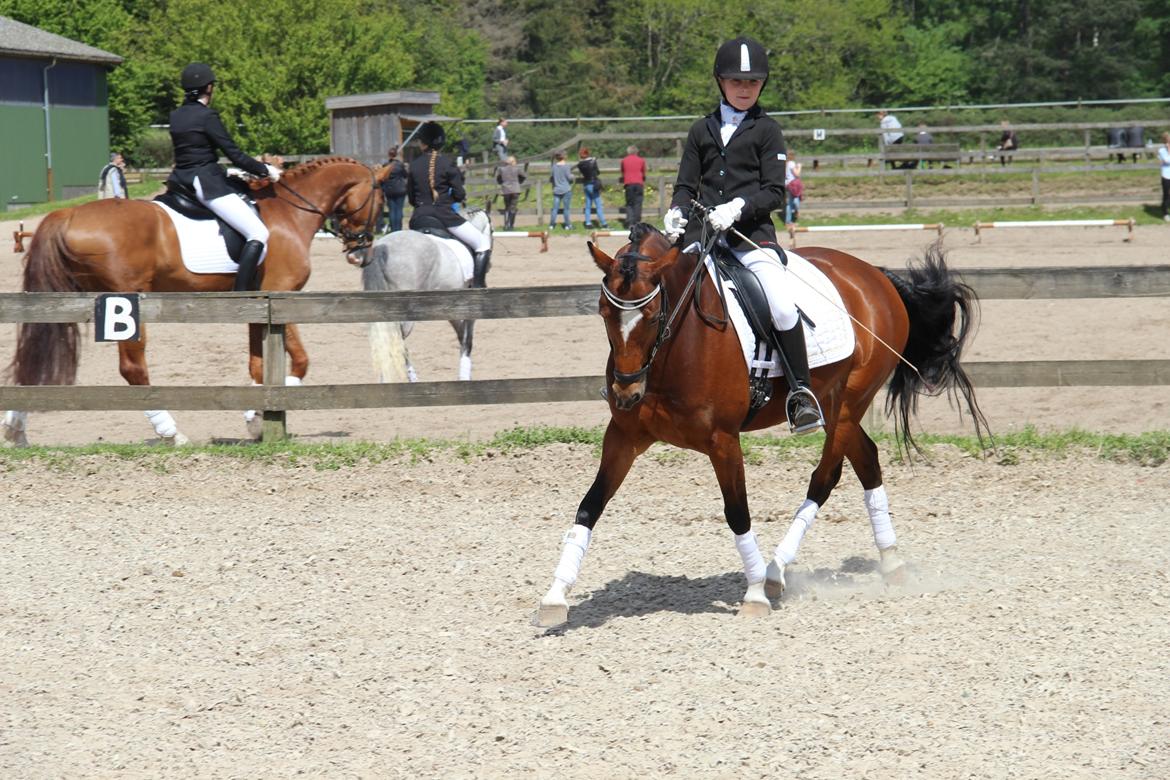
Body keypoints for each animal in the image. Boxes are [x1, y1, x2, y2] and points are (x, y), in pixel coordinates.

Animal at [4, 155, 388, 444]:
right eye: (381, 201)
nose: (361, 253)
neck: (290, 212)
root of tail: (67, 214)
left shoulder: (256, 306)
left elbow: (258, 365)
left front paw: (255, 416)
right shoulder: (282, 296)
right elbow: (301, 361)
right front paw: (268, 408)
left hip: (63, 301)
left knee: (35, 355)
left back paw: (15, 429)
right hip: (125, 305)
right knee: (133, 368)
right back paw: (171, 432)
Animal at [365, 209, 493, 383]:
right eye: (492, 232)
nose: (489, 267)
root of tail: (382, 249)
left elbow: (462, 336)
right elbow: (467, 339)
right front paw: (465, 376)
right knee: (397, 340)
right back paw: (410, 378)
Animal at [535, 222, 987, 626]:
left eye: (649, 315)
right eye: (603, 312)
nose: (627, 393)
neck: (675, 348)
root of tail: (873, 274)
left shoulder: (723, 441)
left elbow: (737, 513)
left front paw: (753, 594)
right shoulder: (625, 437)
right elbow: (588, 507)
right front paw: (555, 597)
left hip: (848, 404)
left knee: (825, 477)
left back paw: (773, 573)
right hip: (835, 405)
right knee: (868, 460)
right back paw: (890, 563)